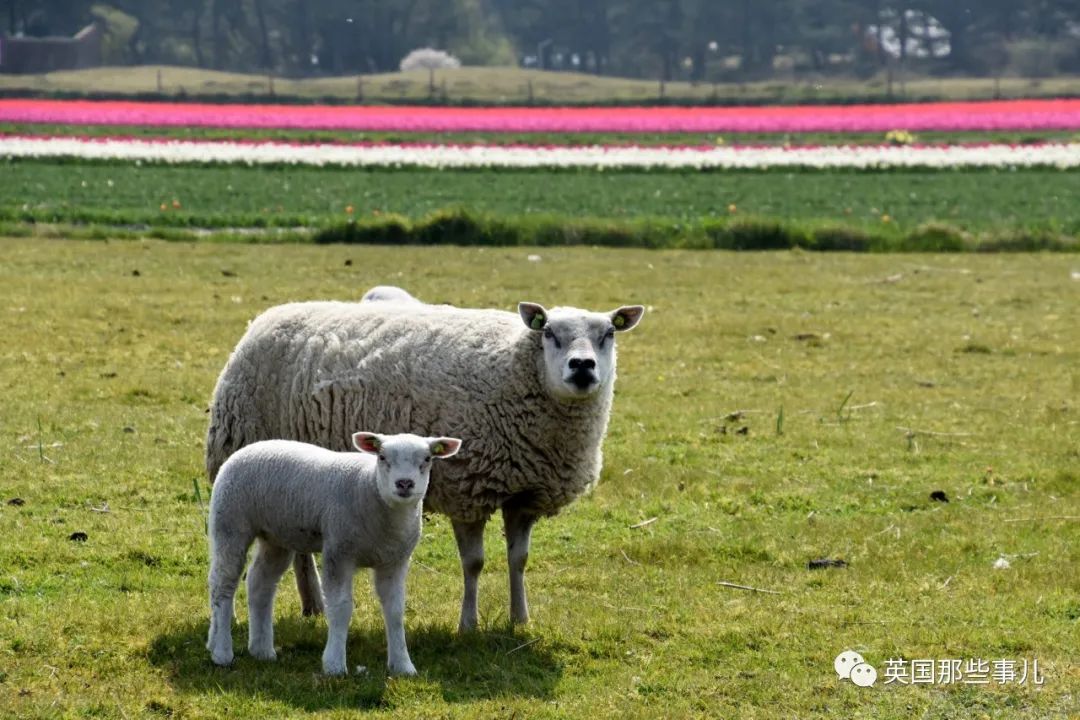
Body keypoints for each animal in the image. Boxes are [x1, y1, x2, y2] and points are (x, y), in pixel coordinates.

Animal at [205, 427, 460, 677]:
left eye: (427, 459)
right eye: (382, 457)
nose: (404, 483)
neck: (370, 488)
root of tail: (248, 449)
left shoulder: (394, 561)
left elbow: (395, 611)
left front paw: (403, 666)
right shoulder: (338, 551)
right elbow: (340, 608)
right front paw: (334, 664)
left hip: (276, 536)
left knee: (260, 583)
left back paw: (261, 650)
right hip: (230, 522)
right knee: (222, 584)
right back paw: (221, 652)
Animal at [207, 293, 643, 630]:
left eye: (609, 334)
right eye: (549, 332)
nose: (582, 366)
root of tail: (269, 316)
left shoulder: (525, 495)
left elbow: (519, 560)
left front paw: (520, 619)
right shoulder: (468, 488)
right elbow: (474, 563)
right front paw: (468, 624)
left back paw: (313, 605)